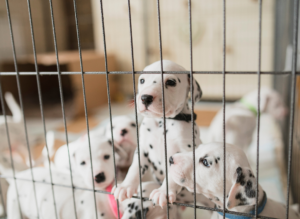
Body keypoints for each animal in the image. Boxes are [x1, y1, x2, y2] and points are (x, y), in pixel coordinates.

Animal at [112, 60, 213, 210]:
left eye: (171, 82)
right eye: (142, 80)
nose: (145, 98)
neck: (162, 123)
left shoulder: (183, 152)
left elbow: (172, 175)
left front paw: (163, 192)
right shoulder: (142, 149)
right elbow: (134, 169)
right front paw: (125, 186)